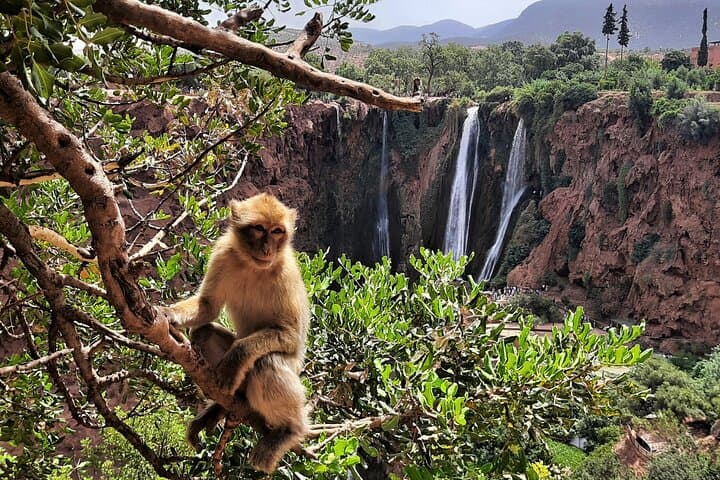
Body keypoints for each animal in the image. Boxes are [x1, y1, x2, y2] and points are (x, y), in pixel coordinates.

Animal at [169, 192, 310, 473]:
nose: (267, 249)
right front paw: (166, 314)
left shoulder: (286, 273)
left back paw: (289, 429)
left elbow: (290, 336)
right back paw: (220, 406)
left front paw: (235, 359)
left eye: (277, 231)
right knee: (203, 333)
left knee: (267, 362)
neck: (254, 266)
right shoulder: (224, 254)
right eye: (259, 229)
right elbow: (208, 307)